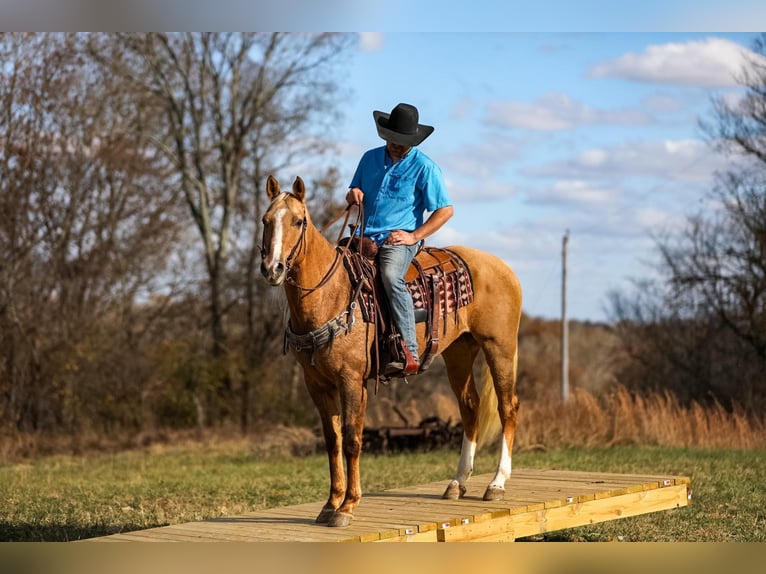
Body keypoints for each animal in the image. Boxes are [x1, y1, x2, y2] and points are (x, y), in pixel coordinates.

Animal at [260, 177, 524, 532]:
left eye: (298, 221)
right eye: (266, 220)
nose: (272, 268)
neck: (331, 295)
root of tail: (503, 267)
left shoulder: (352, 380)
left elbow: (352, 439)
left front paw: (347, 506)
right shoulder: (316, 384)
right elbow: (332, 441)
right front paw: (330, 505)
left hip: (500, 347)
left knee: (508, 407)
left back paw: (496, 484)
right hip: (459, 353)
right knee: (470, 407)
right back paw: (457, 483)